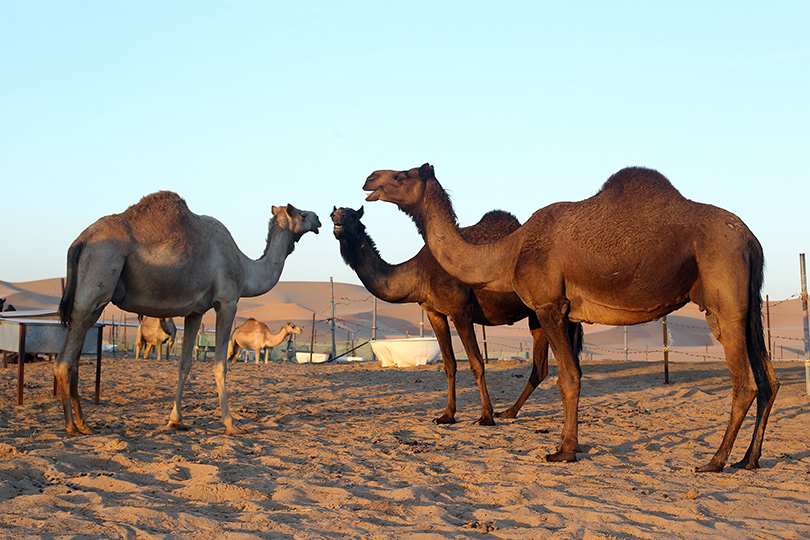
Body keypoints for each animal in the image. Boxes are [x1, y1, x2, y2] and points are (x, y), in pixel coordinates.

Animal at [53, 192, 318, 436]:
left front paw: (176, 420)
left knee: (73, 360)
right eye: (302, 214)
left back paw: (84, 424)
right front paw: (231, 424)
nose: (318, 220)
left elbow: (185, 364)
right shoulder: (227, 301)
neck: (245, 267)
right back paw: (71, 426)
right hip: (96, 282)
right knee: (64, 362)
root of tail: (79, 241)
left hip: (93, 304)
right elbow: (220, 364)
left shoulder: (196, 312)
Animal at [328, 205, 580, 424]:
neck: (418, 274)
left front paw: (486, 416)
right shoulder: (434, 312)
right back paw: (510, 412)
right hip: (544, 315)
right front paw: (447, 415)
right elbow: (449, 364)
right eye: (333, 214)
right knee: (546, 368)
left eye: (353, 217)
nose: (338, 223)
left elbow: (477, 363)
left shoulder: (460, 311)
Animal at [364, 162, 776, 470]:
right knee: (768, 380)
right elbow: (569, 375)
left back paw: (715, 461)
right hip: (750, 305)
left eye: (402, 175)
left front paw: (563, 450)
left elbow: (568, 379)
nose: (369, 178)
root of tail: (751, 240)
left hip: (725, 302)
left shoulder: (549, 306)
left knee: (745, 384)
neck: (510, 252)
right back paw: (749, 459)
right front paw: (569, 445)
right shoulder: (564, 313)